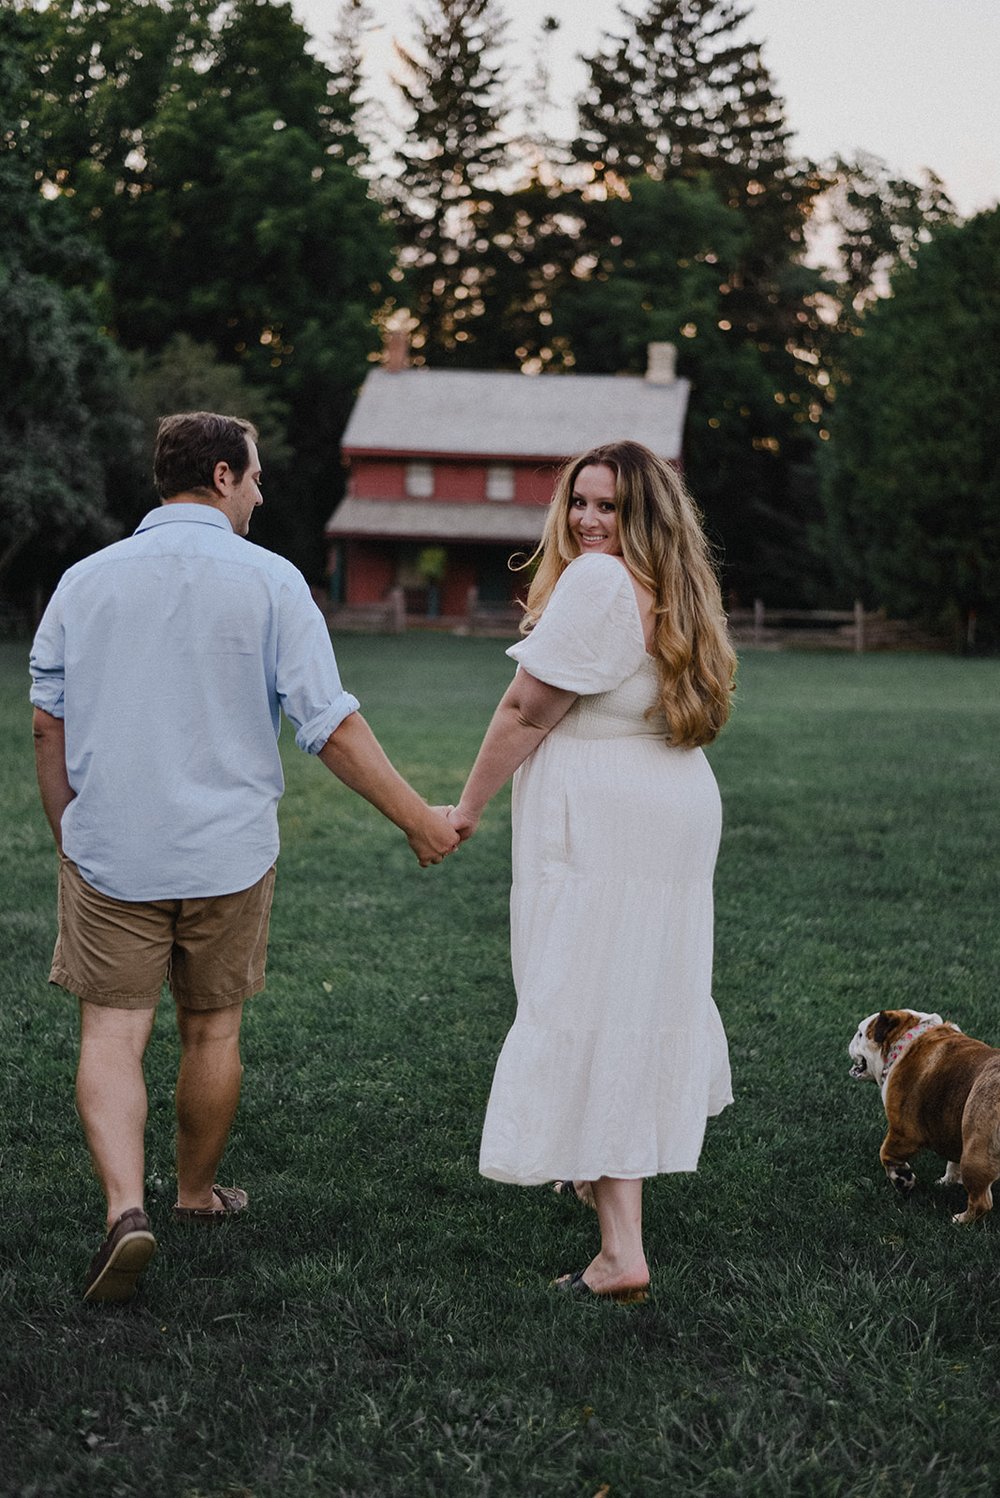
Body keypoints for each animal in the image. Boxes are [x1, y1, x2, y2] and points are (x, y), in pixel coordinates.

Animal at [850, 1006, 999, 1228]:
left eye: (860, 1034)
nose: (851, 1040)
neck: (907, 1037)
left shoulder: (903, 1131)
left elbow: (886, 1153)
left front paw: (903, 1180)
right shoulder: (953, 1128)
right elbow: (953, 1162)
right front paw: (948, 1181)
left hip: (976, 1155)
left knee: (981, 1201)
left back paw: (961, 1220)